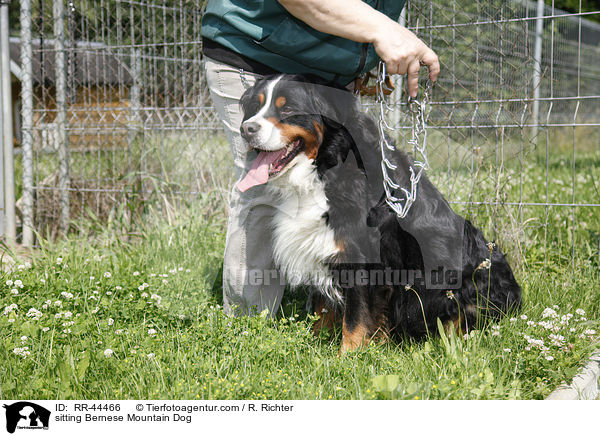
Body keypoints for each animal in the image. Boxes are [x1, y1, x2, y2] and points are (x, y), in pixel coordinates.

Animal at [236, 74, 520, 354]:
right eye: (256, 107)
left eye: (288, 109)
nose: (246, 129)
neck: (327, 168)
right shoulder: (324, 248)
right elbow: (322, 310)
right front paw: (316, 346)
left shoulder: (362, 259)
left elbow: (355, 318)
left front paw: (347, 356)